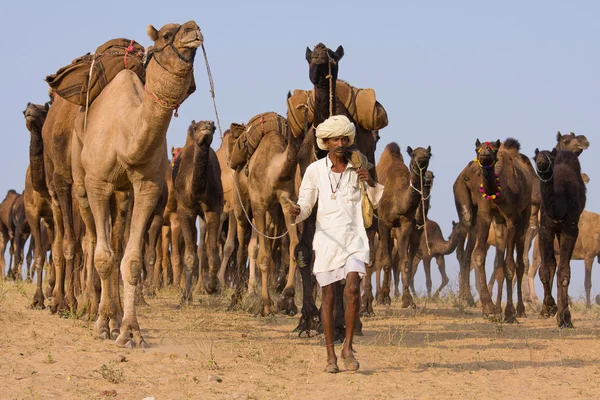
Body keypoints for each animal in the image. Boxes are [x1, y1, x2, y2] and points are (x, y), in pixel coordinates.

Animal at [71, 21, 203, 346]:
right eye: (167, 34)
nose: (194, 28)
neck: (126, 135)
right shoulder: (98, 183)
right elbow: (103, 257)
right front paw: (103, 325)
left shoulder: (147, 187)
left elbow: (131, 260)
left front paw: (130, 330)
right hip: (81, 180)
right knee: (92, 239)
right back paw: (94, 310)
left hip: (123, 195)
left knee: (117, 243)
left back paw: (116, 315)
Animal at [173, 120, 223, 302]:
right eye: (196, 127)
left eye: (214, 127)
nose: (206, 126)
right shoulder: (184, 210)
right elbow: (189, 256)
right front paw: (185, 296)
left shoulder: (214, 210)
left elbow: (214, 255)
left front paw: (211, 287)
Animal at [376, 144, 432, 310]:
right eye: (413, 154)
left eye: (429, 154)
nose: (422, 157)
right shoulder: (384, 222)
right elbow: (387, 261)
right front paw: (385, 298)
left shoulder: (406, 224)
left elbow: (405, 263)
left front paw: (408, 300)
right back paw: (377, 297)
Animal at [536, 148, 584, 326]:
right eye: (534, 156)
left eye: (549, 156)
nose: (541, 161)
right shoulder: (544, 229)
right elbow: (544, 269)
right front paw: (549, 307)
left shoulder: (571, 230)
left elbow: (564, 273)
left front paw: (564, 317)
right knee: (550, 263)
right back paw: (546, 309)